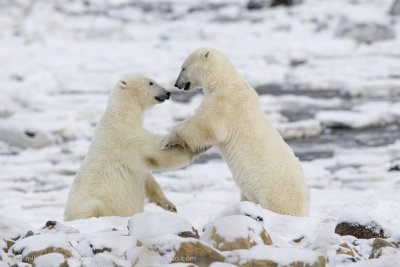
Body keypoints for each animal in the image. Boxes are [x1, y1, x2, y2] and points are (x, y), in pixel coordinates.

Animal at [64, 75, 197, 222]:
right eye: (151, 83)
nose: (168, 93)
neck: (121, 115)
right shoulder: (124, 137)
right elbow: (154, 151)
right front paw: (189, 150)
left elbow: (148, 178)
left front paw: (170, 206)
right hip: (92, 205)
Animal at [162, 48, 310, 218]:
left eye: (183, 68)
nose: (176, 84)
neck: (224, 81)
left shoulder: (225, 103)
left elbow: (207, 126)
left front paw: (168, 138)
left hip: (277, 193)